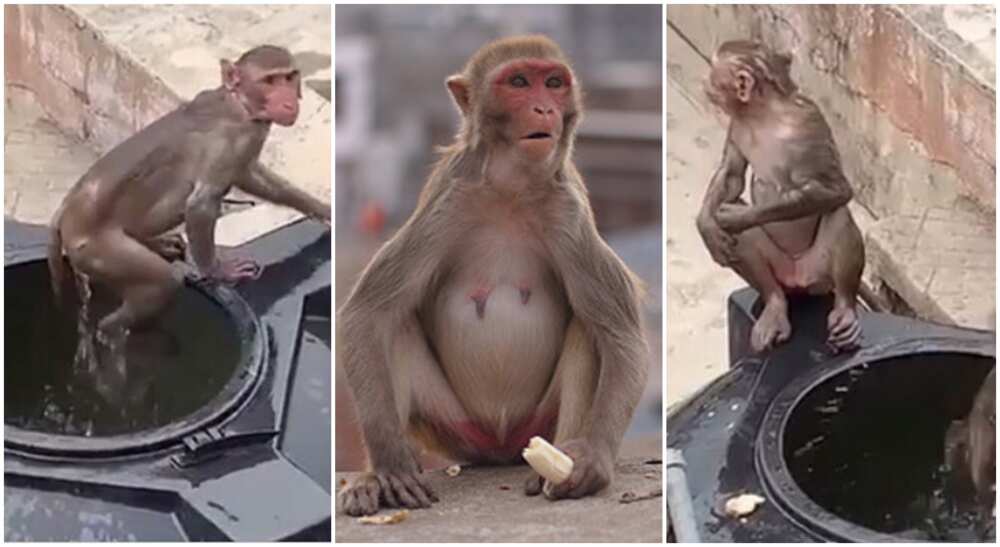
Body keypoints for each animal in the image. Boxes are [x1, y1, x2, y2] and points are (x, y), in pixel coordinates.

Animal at [48, 46, 330, 360]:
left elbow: (250, 176)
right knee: (160, 282)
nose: (288, 100)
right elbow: (201, 204)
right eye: (269, 81)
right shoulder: (231, 142)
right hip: (95, 247)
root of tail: (65, 211)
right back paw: (114, 331)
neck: (240, 105)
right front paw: (218, 271)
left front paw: (321, 209)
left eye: (289, 77)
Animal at [336, 36, 648, 516]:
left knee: (587, 328)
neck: (512, 189)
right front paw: (389, 465)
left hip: (534, 422)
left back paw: (558, 464)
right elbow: (367, 313)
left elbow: (621, 334)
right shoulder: (448, 201)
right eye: (518, 82)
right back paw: (374, 481)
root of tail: (501, 447)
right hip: (453, 426)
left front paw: (592, 457)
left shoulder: (569, 215)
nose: (543, 108)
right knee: (394, 324)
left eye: (553, 83)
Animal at [696, 39, 868, 356]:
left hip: (820, 273)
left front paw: (738, 216)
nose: (705, 82)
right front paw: (706, 225)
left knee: (838, 214)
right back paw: (774, 305)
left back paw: (845, 308)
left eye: (713, 74)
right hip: (782, 273)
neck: (763, 114)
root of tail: (800, 280)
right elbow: (732, 175)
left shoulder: (808, 123)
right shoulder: (737, 123)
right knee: (753, 255)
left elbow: (835, 189)